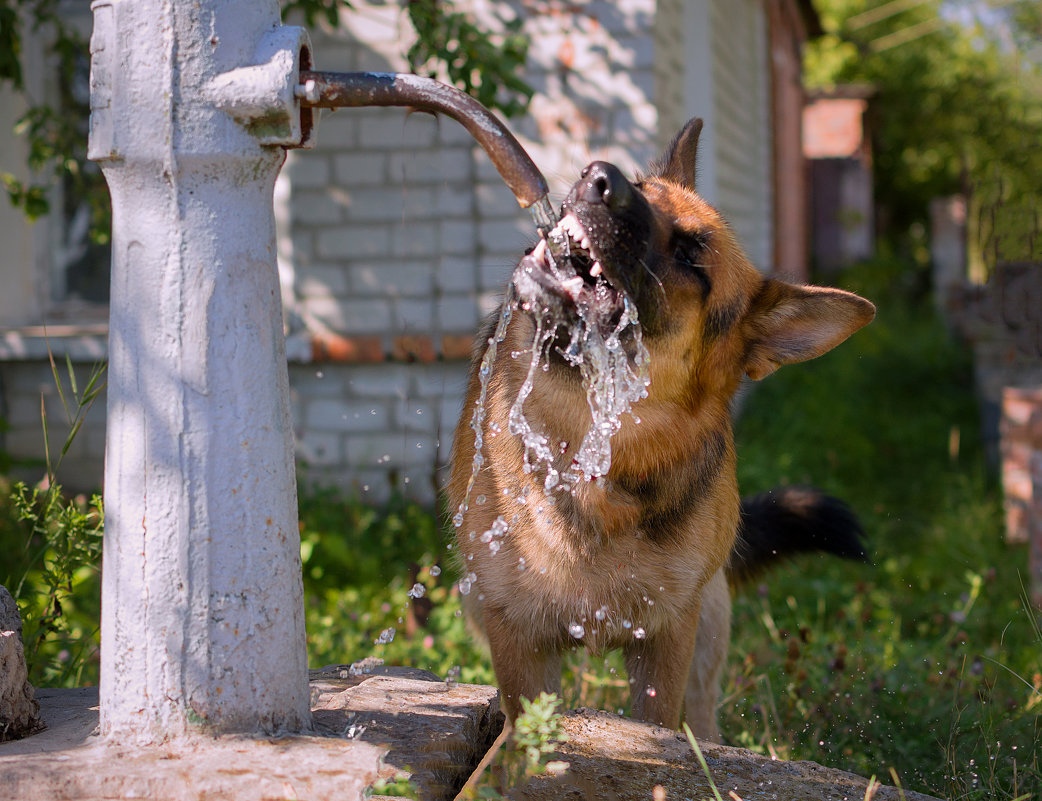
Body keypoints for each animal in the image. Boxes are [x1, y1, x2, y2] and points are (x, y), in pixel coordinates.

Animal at [450, 117, 879, 737]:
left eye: (691, 257)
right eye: (639, 188)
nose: (599, 177)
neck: (595, 459)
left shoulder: (667, 637)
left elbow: (659, 727)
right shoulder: (519, 637)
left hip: (708, 625)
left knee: (700, 718)